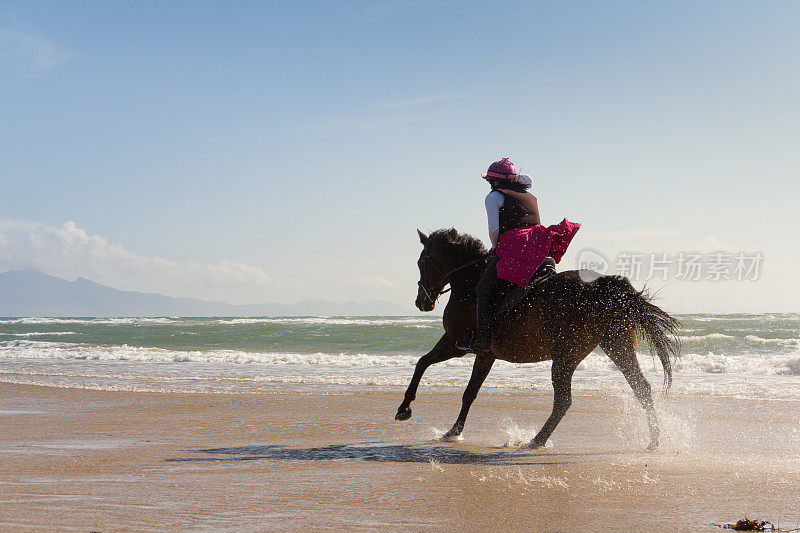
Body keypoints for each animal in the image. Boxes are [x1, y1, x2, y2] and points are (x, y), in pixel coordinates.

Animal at [396, 228, 680, 448]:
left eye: (422, 262)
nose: (422, 303)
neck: (469, 280)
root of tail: (606, 286)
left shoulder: (456, 344)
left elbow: (424, 364)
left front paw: (406, 409)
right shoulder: (485, 354)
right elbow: (468, 391)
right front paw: (452, 431)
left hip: (566, 356)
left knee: (564, 400)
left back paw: (536, 440)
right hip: (617, 346)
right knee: (641, 387)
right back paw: (654, 440)